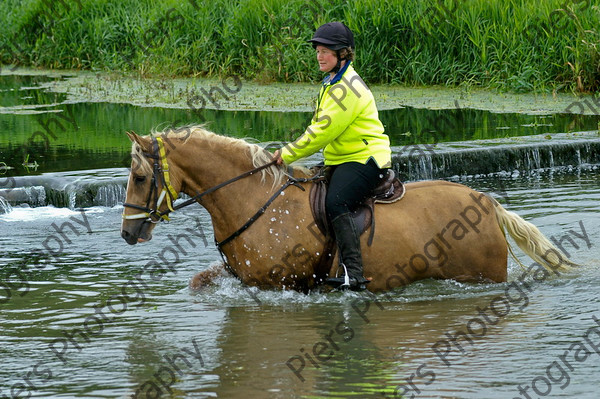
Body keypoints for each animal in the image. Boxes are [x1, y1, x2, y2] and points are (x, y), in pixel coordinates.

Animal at [118, 126, 576, 294]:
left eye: (139, 177)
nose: (127, 233)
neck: (253, 201)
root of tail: (488, 203)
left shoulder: (283, 286)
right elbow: (199, 283)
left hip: (481, 276)